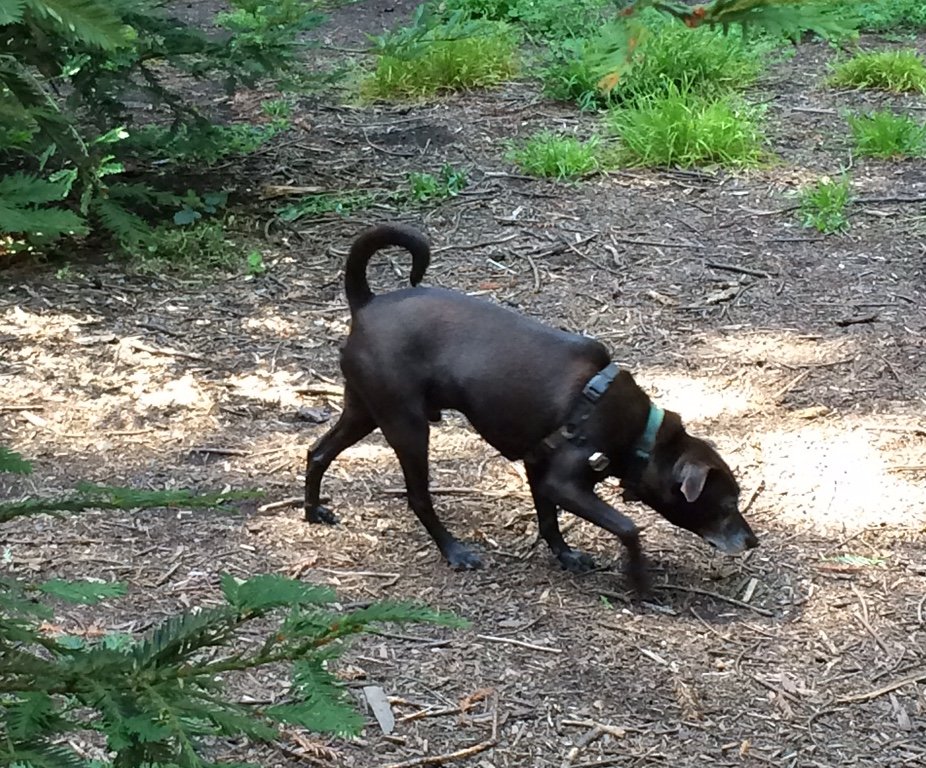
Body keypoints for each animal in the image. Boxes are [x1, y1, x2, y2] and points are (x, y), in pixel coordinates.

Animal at [306, 222, 760, 588]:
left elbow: (548, 519)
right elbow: (628, 528)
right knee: (418, 497)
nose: (752, 540)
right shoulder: (563, 481)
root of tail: (367, 303)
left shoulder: (538, 468)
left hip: (364, 410)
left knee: (317, 453)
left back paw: (312, 512)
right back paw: (455, 551)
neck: (643, 437)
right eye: (726, 505)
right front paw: (638, 581)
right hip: (408, 426)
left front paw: (565, 555)